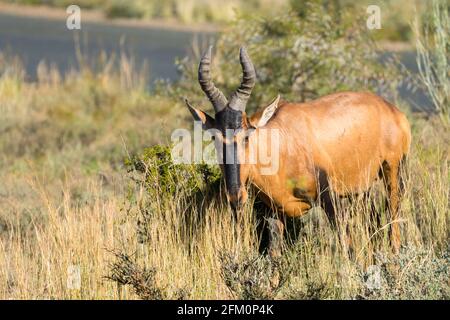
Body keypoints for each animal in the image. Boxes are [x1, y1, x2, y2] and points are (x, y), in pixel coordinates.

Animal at [184, 45, 412, 255]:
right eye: (214, 137)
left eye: (247, 136)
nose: (235, 197)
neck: (282, 146)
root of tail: (392, 110)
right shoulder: (274, 213)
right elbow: (274, 255)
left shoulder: (330, 200)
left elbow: (348, 248)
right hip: (362, 188)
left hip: (393, 171)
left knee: (393, 220)